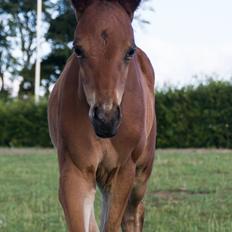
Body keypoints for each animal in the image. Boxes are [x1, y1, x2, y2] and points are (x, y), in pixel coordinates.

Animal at [47, 0, 156, 231]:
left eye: (130, 50)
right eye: (78, 49)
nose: (106, 119)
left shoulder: (123, 171)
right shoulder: (76, 170)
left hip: (141, 172)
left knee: (134, 213)